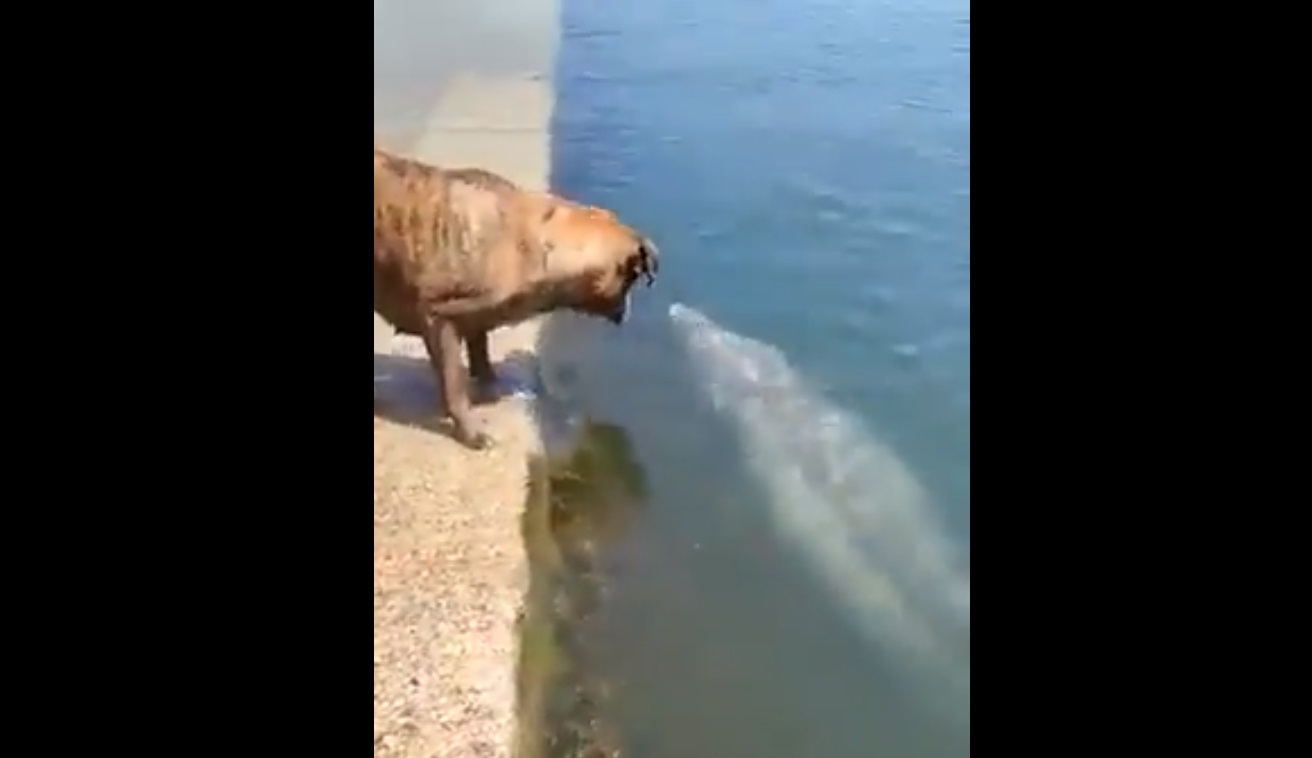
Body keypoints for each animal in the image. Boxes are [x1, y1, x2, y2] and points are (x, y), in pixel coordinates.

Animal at [372, 146, 656, 448]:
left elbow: (480, 349)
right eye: (631, 278)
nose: (627, 313)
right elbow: (454, 379)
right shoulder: (437, 313)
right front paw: (473, 434)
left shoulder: (476, 311)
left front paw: (491, 386)